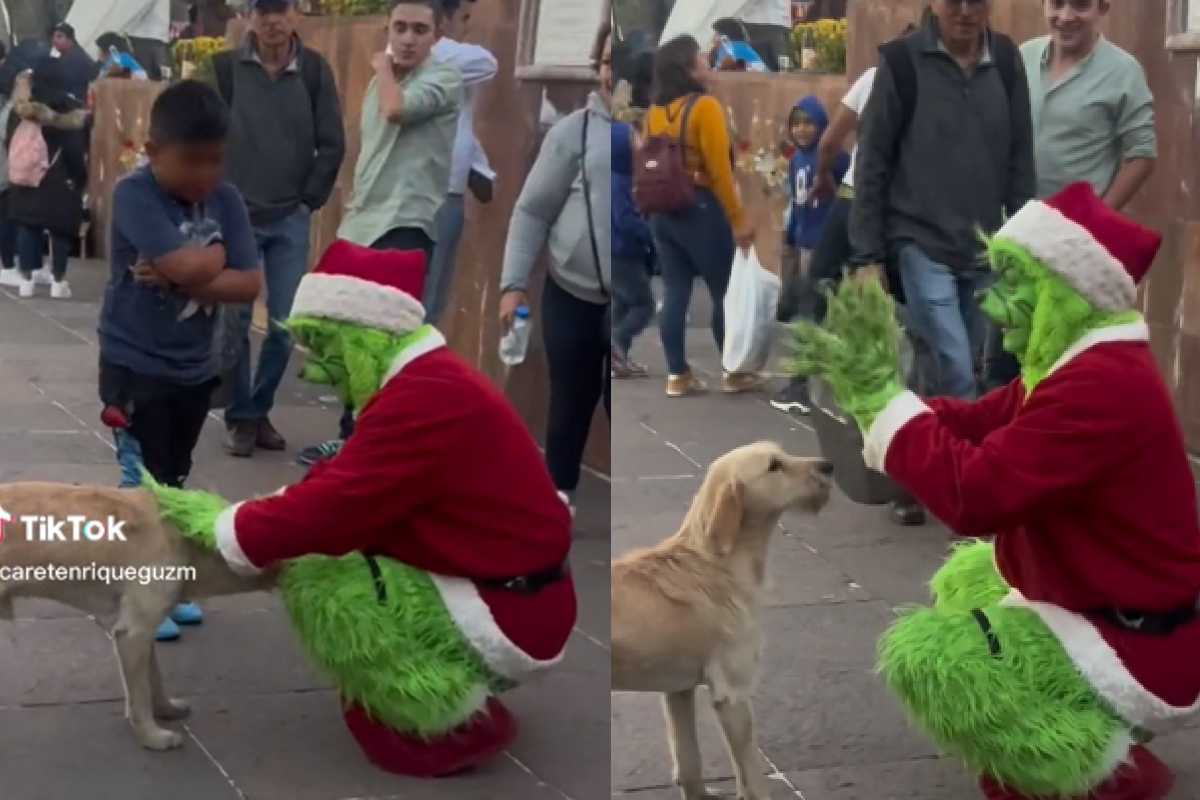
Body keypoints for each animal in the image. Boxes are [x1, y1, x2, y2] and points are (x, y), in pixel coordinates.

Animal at [0, 482, 274, 753]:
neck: (187, 534)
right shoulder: (133, 633)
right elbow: (140, 694)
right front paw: (151, 736)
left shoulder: (143, 633)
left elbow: (154, 679)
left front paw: (165, 709)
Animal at [614, 443, 830, 800]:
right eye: (774, 466)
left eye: (783, 452)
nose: (829, 465)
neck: (716, 562)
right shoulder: (732, 694)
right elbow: (751, 775)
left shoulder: (678, 691)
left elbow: (689, 760)